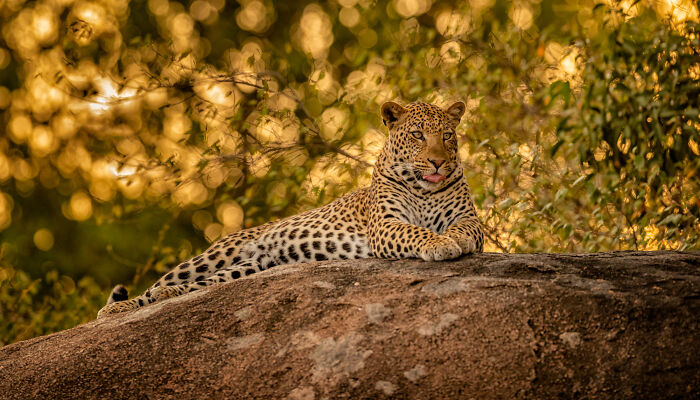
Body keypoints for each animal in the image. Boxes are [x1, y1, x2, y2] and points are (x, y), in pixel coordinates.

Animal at [96, 100, 484, 318]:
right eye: (417, 135)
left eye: (448, 135)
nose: (438, 161)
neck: (423, 189)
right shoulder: (386, 225)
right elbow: (415, 230)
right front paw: (439, 243)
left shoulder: (469, 218)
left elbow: (462, 229)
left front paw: (454, 240)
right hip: (216, 254)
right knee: (158, 285)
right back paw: (118, 308)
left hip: (249, 267)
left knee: (198, 285)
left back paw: (169, 297)